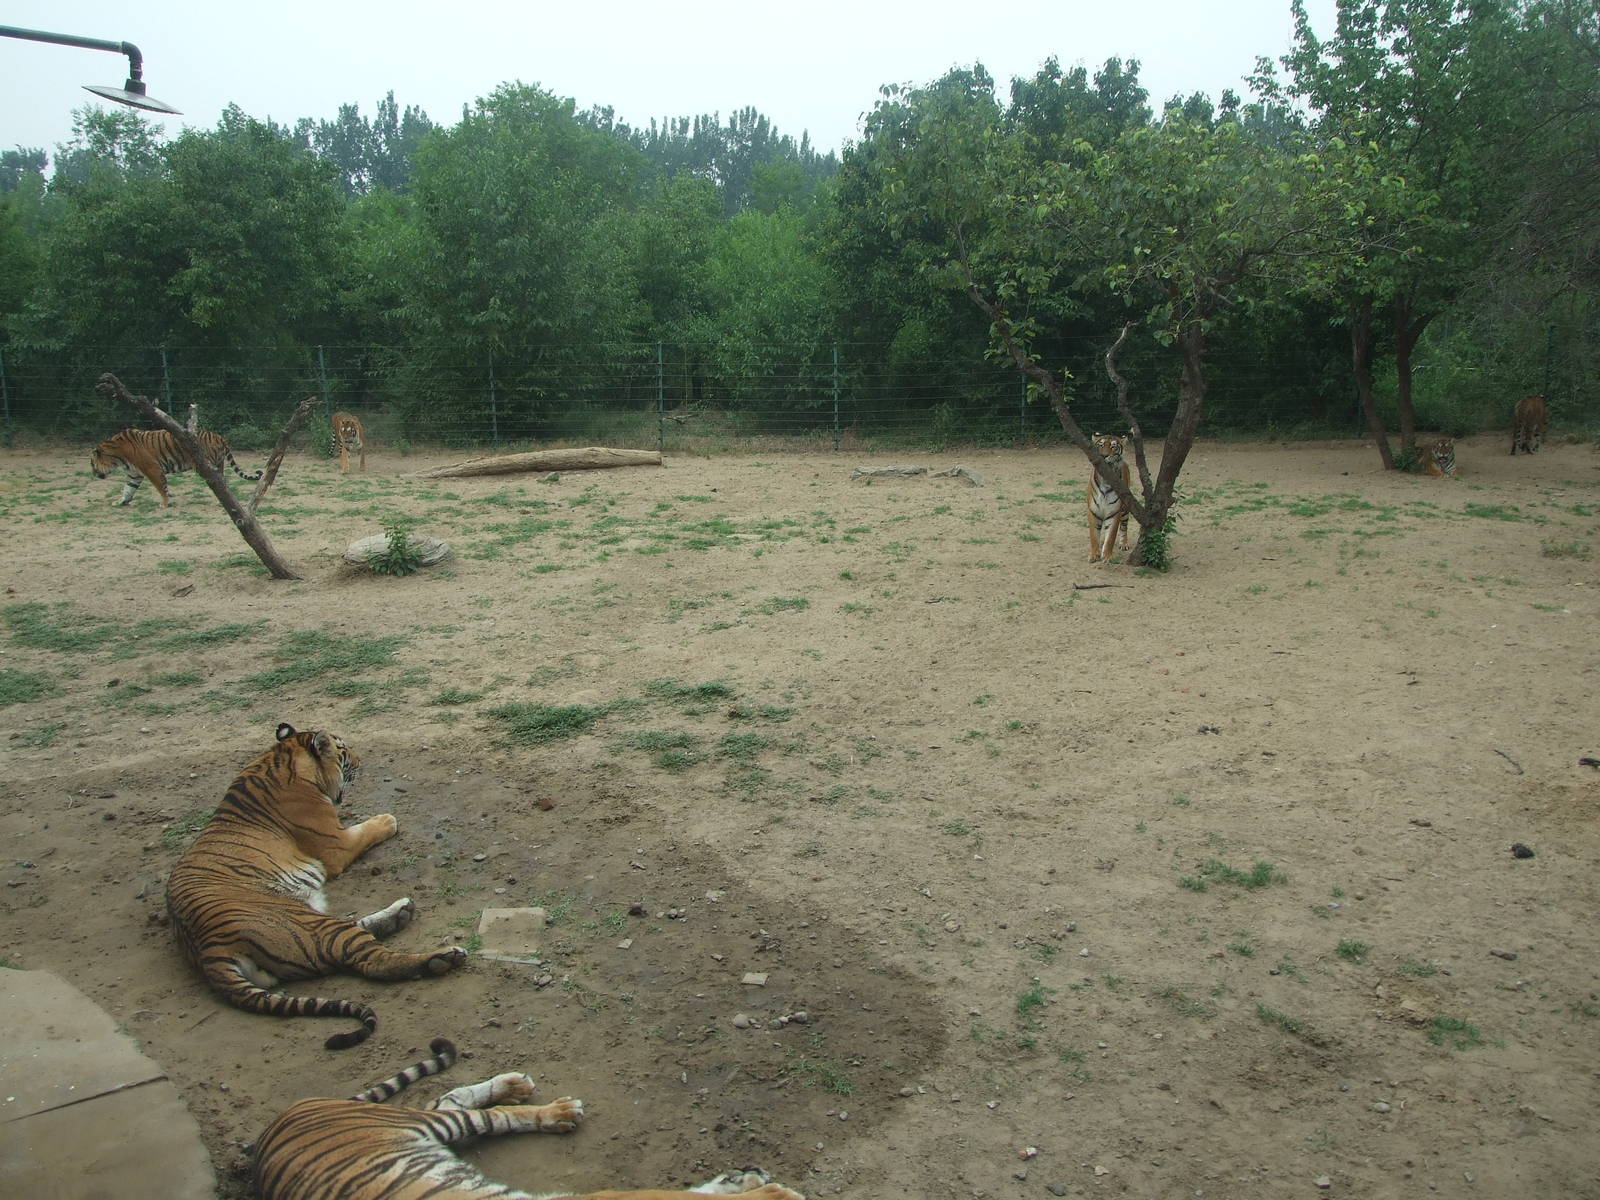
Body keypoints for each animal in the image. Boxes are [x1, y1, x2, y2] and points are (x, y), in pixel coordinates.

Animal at [90, 427, 263, 507]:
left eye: (92, 464)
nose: (93, 474)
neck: (118, 457)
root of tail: (218, 436)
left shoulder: (152, 469)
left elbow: (161, 487)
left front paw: (165, 503)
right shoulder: (134, 474)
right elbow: (128, 489)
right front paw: (121, 501)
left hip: (207, 466)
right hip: (217, 465)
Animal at [164, 722, 465, 1050]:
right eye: (343, 750)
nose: (361, 760)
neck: (283, 760)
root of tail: (206, 949)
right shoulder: (337, 845)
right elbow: (367, 830)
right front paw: (387, 819)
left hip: (306, 923)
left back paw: (400, 913)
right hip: (301, 921)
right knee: (372, 960)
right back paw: (441, 958)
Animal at [253, 1037, 806, 1200]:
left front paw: (745, 1179)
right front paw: (766, 1190)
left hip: (432, 1126)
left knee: (456, 1101)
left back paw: (527, 1092)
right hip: (421, 1129)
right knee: (466, 1108)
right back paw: (547, 1105)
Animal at [1087, 432, 1132, 562]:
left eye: (1113, 446)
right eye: (1100, 445)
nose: (1104, 456)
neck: (1105, 480)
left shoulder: (1114, 512)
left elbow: (1111, 536)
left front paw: (1107, 556)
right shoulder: (1093, 511)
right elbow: (1094, 535)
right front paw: (1094, 555)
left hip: (1125, 508)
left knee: (1124, 527)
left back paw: (1124, 544)